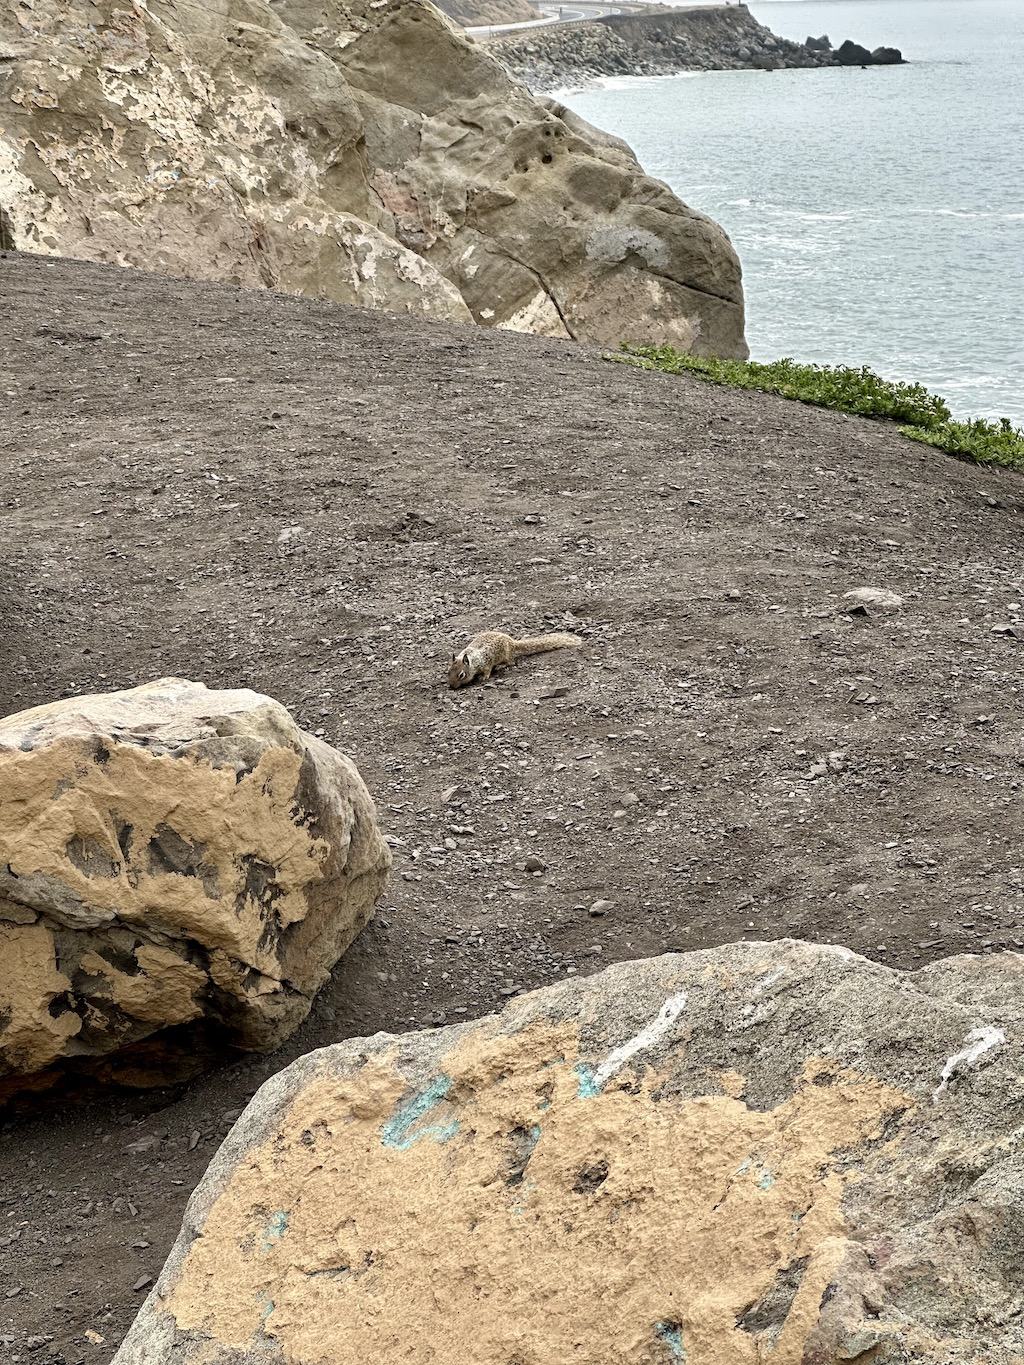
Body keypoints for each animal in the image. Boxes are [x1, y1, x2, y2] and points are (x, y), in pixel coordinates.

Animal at [448, 630, 581, 689]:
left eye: (461, 675)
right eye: (448, 672)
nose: (452, 686)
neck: (473, 660)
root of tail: (513, 642)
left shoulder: (486, 662)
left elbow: (487, 670)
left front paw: (484, 677)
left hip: (506, 655)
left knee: (511, 662)